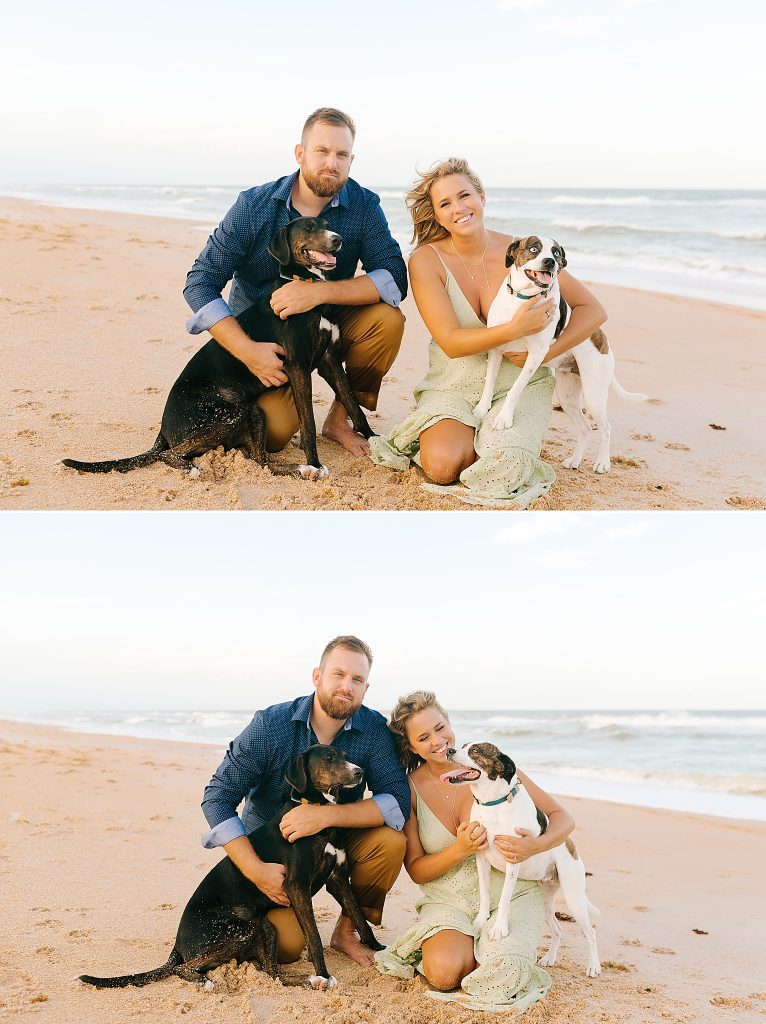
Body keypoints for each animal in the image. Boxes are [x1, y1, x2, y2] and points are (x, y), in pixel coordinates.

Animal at [64, 216, 374, 479]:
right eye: (308, 228)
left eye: (328, 225)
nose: (338, 239)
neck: (308, 289)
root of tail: (163, 430)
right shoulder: (298, 366)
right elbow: (308, 422)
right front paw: (317, 463)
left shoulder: (330, 361)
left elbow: (353, 404)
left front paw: (373, 440)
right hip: (223, 415)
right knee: (170, 454)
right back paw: (191, 468)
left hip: (251, 411)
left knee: (260, 461)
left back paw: (298, 469)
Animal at [79, 745, 383, 991]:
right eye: (329, 757)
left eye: (345, 755)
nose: (360, 771)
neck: (318, 812)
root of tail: (177, 944)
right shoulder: (297, 885)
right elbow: (315, 936)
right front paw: (325, 972)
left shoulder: (338, 879)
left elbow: (359, 917)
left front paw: (379, 951)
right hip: (237, 930)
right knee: (185, 968)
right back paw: (207, 981)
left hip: (262, 927)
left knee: (272, 973)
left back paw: (310, 981)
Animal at [440, 745, 602, 974]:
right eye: (463, 746)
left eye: (475, 750)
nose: (450, 750)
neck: (493, 804)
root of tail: (571, 846)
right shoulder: (481, 859)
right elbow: (484, 892)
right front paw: (481, 920)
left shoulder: (512, 861)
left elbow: (504, 899)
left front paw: (499, 928)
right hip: (547, 901)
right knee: (558, 929)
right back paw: (550, 958)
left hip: (574, 898)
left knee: (591, 933)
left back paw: (594, 966)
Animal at [473, 235, 647, 471]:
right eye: (534, 249)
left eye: (556, 253)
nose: (550, 262)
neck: (522, 299)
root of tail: (602, 339)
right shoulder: (496, 349)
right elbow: (489, 382)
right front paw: (482, 409)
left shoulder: (535, 355)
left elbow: (516, 388)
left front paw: (504, 417)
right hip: (567, 395)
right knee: (585, 428)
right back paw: (574, 460)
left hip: (593, 393)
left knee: (606, 428)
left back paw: (603, 463)